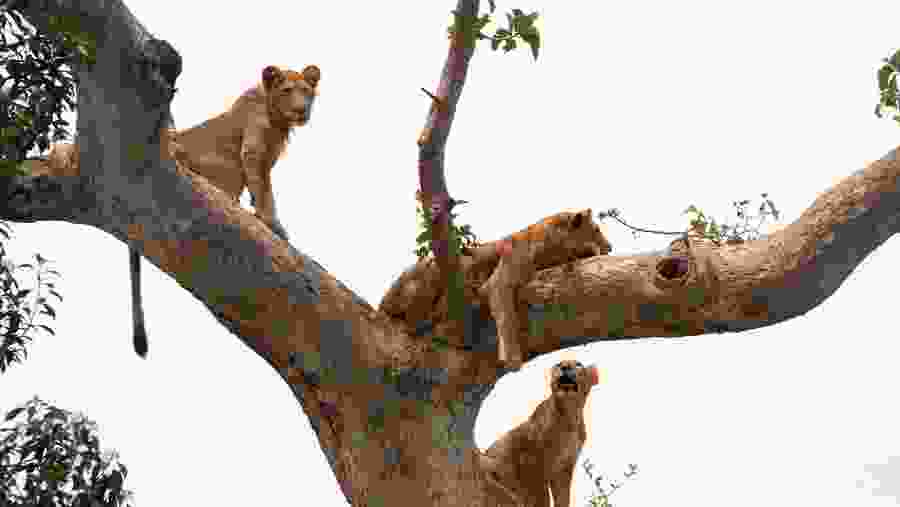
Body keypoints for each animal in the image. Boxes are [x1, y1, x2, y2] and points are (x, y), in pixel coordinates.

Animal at [26, 64, 321, 358]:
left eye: (306, 92)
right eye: (288, 91)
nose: (302, 109)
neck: (277, 118)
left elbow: (262, 191)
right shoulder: (253, 152)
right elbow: (263, 192)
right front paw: (274, 226)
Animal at [480, 360, 599, 507]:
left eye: (578, 364)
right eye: (559, 364)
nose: (565, 367)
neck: (570, 414)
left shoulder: (564, 468)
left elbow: (563, 498)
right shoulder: (532, 465)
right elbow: (541, 498)